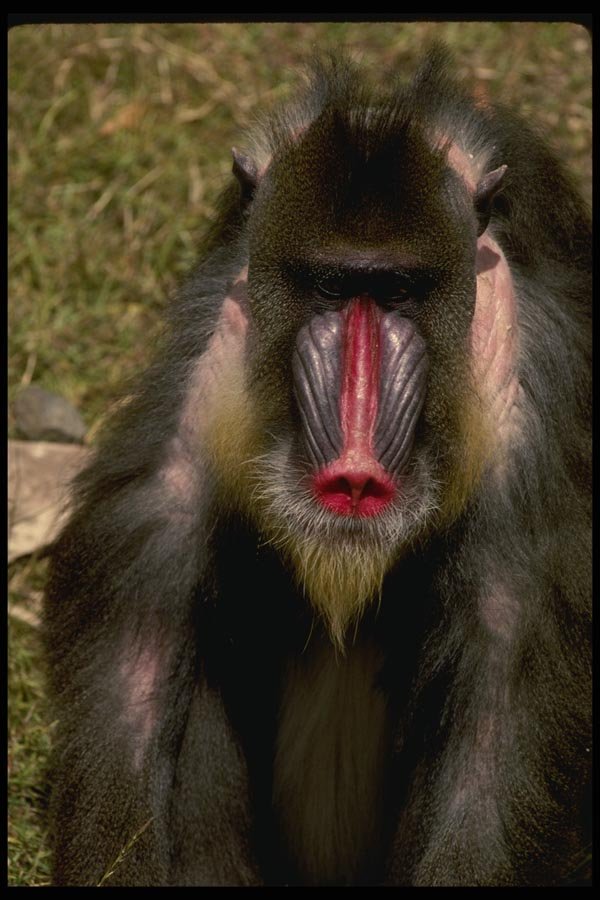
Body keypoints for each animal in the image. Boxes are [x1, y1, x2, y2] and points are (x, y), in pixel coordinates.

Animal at [43, 47, 591, 887]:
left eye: (398, 291)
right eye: (331, 286)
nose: (354, 473)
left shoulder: (530, 434)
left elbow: (492, 748)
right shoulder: (200, 390)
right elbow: (139, 673)